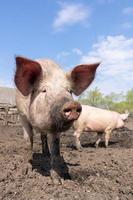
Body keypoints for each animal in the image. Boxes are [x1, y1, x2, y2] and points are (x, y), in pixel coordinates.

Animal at [14, 56, 100, 184]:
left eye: (69, 90)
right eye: (44, 90)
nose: (72, 104)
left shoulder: (55, 129)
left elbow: (56, 149)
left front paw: (58, 181)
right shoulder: (22, 116)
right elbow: (27, 142)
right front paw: (24, 172)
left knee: (43, 137)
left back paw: (46, 154)